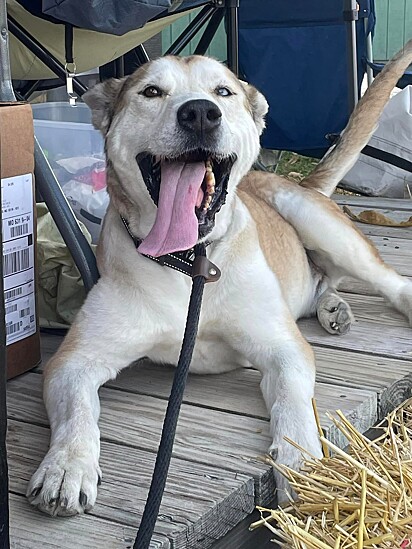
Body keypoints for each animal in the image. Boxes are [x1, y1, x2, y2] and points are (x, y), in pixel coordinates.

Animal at [28, 41, 412, 512]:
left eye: (223, 92)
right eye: (151, 91)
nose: (199, 113)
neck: (188, 261)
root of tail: (301, 182)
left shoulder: (282, 348)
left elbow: (293, 404)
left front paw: (303, 469)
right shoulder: (74, 361)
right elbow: (77, 413)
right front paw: (66, 466)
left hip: (319, 224)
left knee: (389, 282)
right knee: (324, 282)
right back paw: (333, 309)